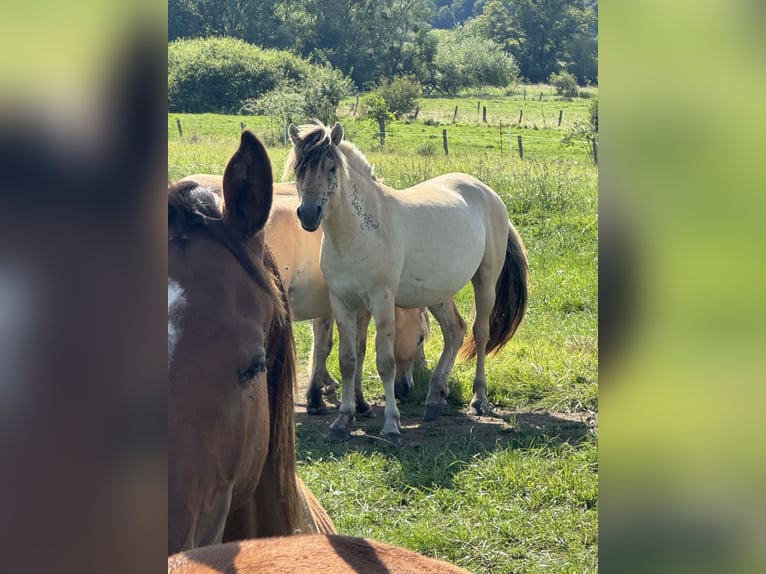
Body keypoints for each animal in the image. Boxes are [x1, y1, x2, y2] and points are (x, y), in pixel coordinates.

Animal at [182, 174, 432, 414]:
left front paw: (318, 392)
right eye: (421, 337)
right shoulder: (359, 309)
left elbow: (322, 345)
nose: (407, 387)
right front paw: (354, 401)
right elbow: (353, 350)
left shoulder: (327, 309)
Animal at [284, 122, 532, 446]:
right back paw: (435, 399)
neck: (358, 233)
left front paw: (391, 423)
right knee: (455, 331)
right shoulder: (342, 303)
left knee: (480, 333)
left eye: (331, 168)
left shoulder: (382, 302)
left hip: (485, 281)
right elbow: (348, 360)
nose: (308, 214)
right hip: (438, 293)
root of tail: (488, 192)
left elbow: (385, 362)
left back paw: (479, 398)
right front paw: (342, 420)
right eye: (299, 168)